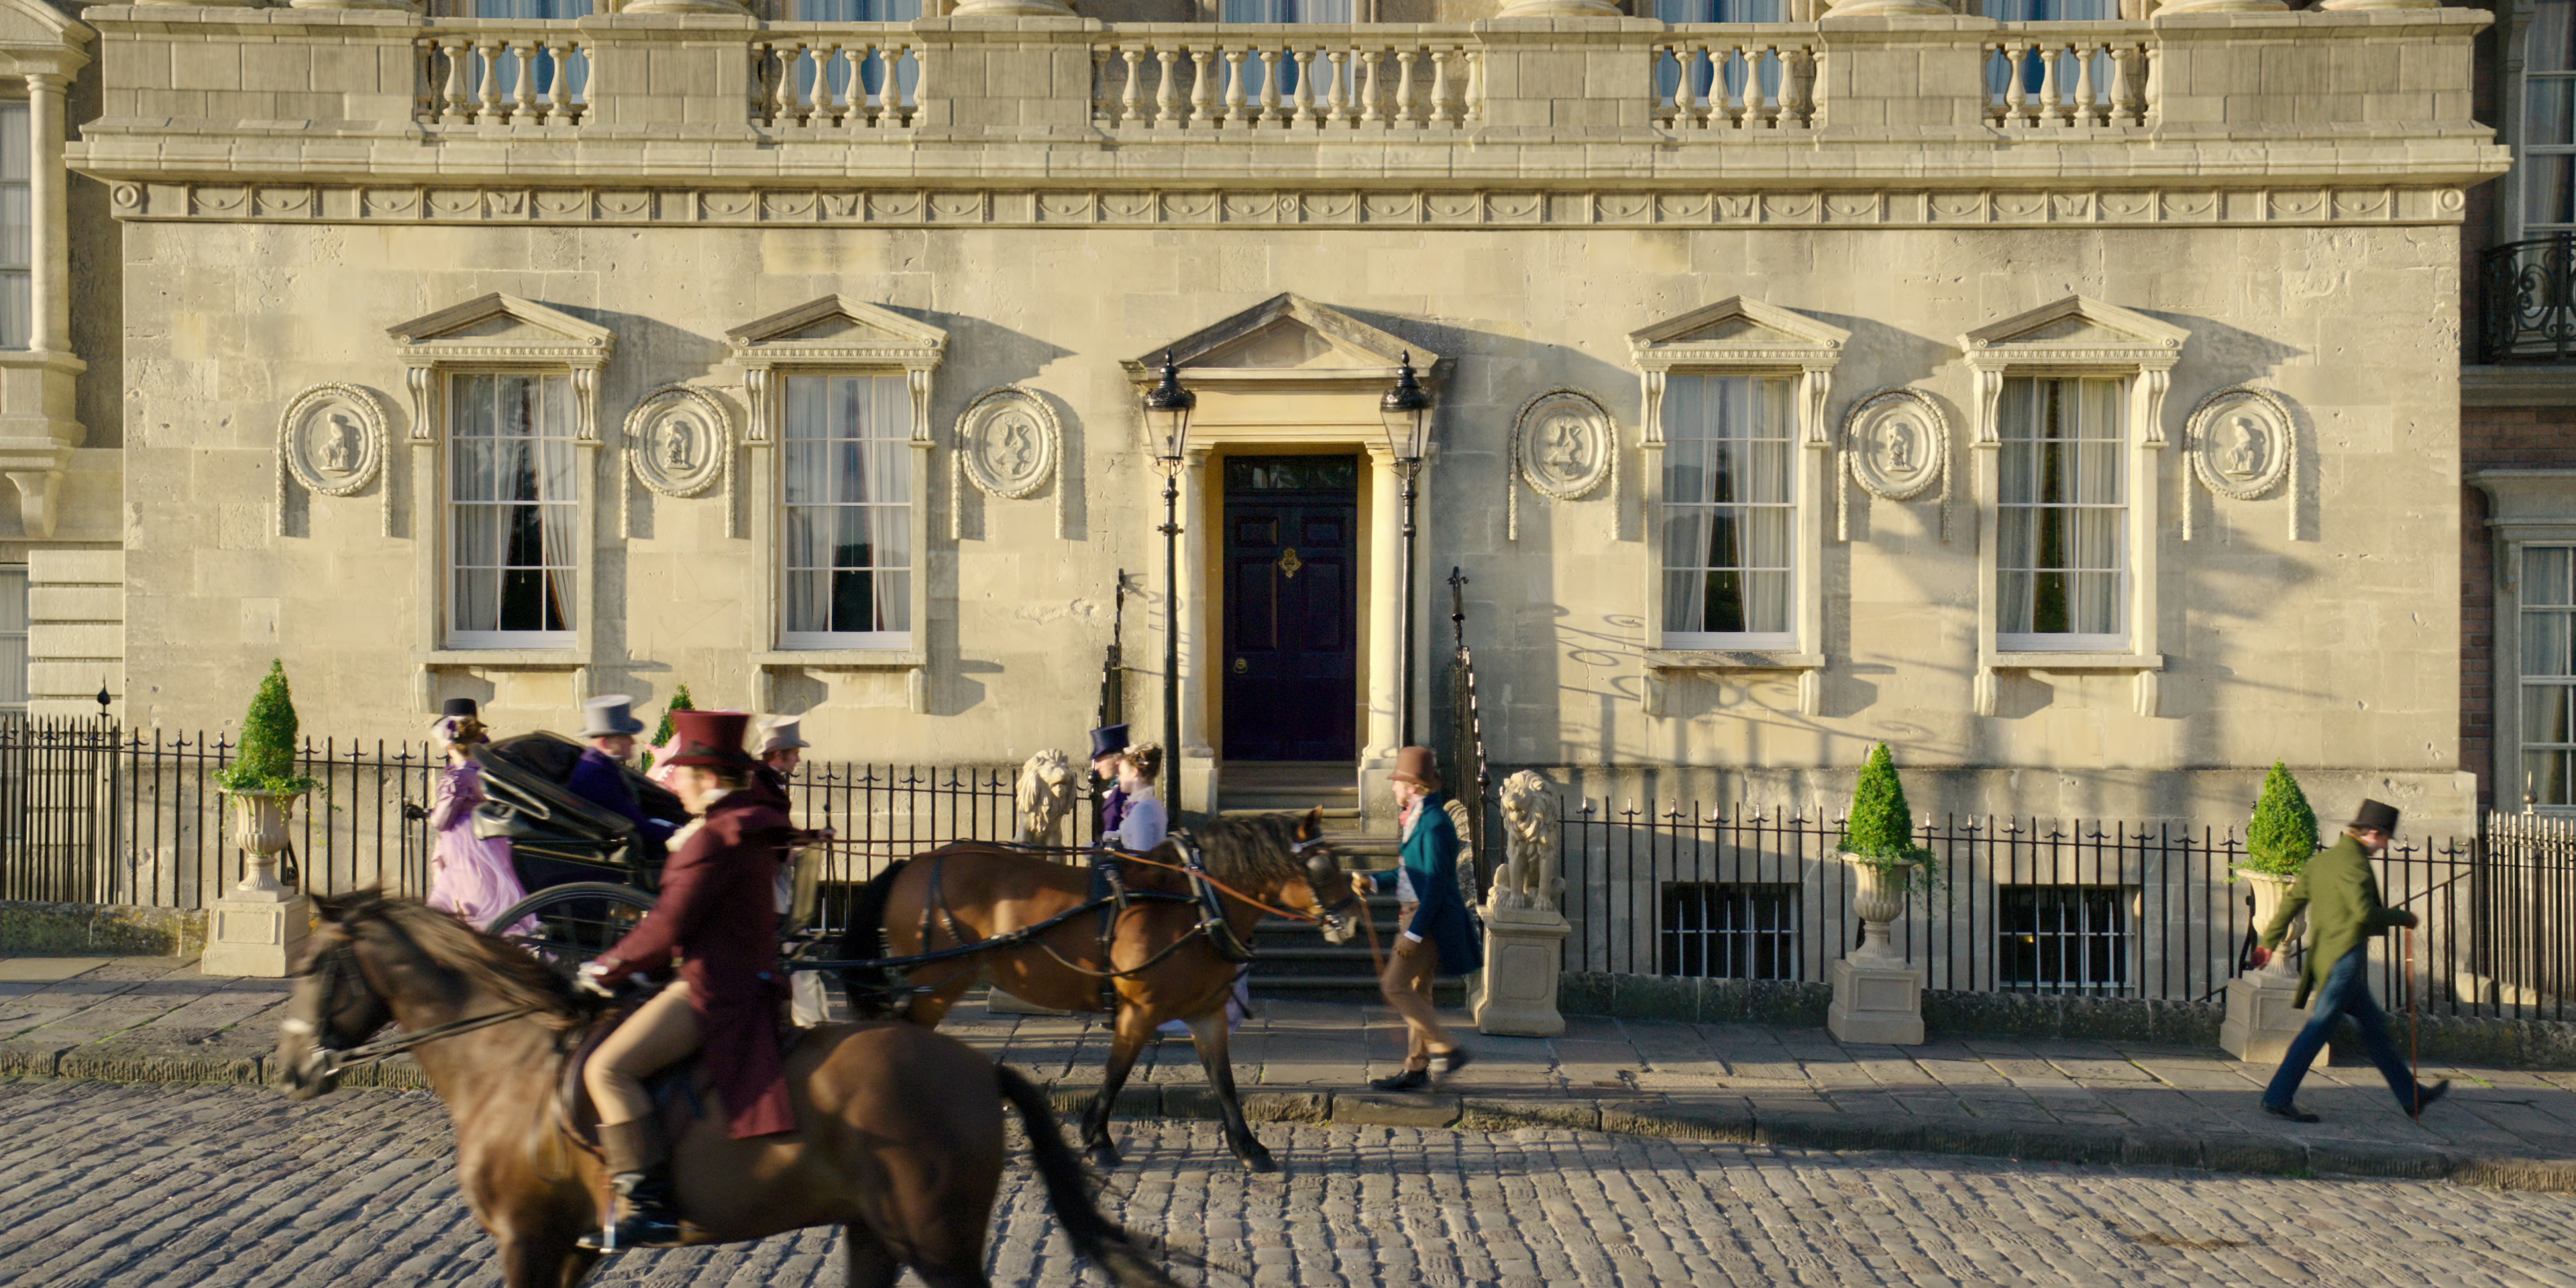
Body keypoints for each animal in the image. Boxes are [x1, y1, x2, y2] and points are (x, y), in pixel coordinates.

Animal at [274, 891, 1179, 1288]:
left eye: (315, 964)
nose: (293, 1069)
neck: (509, 1062)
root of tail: (974, 1065)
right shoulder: (568, 1247)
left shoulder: (528, 1241)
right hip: (877, 1232)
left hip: (936, 1241)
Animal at [839, 808, 1370, 1175]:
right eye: (1324, 867)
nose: (1352, 918)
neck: (1193, 902)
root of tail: (912, 863)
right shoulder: (1141, 1009)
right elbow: (1116, 1073)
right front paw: (1097, 1139)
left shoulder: (1207, 1013)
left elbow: (1223, 1081)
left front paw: (1249, 1147)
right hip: (937, 983)